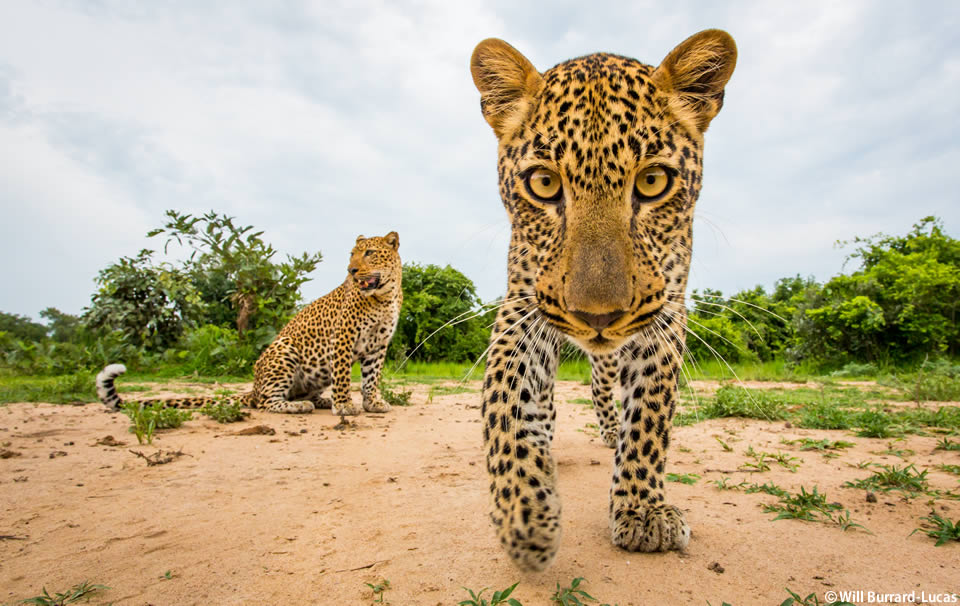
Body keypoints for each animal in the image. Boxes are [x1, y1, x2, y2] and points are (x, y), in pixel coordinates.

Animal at [100, 233, 404, 418]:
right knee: (267, 401)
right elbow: (343, 374)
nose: (351, 271)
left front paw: (372, 403)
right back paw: (298, 405)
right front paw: (343, 406)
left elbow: (371, 377)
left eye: (370, 253)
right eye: (352, 254)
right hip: (284, 349)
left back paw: (318, 400)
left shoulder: (378, 344)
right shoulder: (343, 337)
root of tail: (254, 388)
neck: (384, 296)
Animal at [468, 28, 740, 572]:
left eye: (653, 181)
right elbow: (504, 400)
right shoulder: (522, 305)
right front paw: (525, 514)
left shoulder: (666, 313)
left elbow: (651, 415)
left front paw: (642, 509)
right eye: (544, 183)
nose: (598, 317)